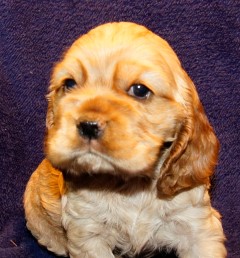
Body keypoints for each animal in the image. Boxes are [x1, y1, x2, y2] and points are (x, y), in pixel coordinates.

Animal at [24, 22, 227, 258]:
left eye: (139, 90)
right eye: (70, 84)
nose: (88, 125)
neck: (131, 185)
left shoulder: (197, 227)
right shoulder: (87, 231)